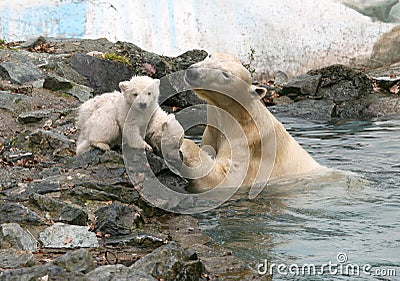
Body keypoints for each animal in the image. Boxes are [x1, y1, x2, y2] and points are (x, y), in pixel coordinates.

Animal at [181, 52, 322, 194]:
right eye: (210, 55)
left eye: (225, 74)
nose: (193, 72)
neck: (238, 119)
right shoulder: (212, 133)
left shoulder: (249, 145)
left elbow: (225, 178)